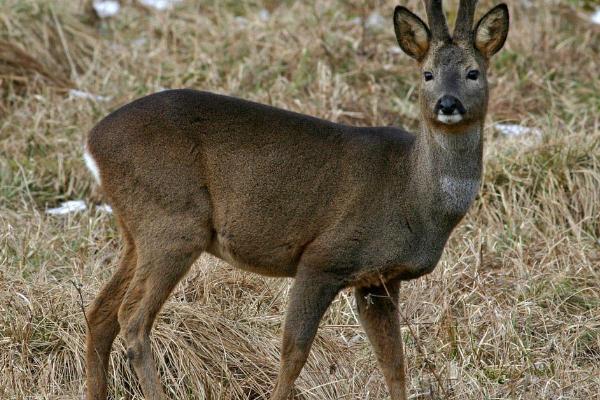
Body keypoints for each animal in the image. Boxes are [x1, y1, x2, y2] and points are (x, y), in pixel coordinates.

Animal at [82, 1, 508, 398]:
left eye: (473, 72)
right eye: (427, 73)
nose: (447, 104)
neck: (413, 194)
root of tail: (92, 143)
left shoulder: (379, 281)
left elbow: (395, 364)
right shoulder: (324, 256)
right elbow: (294, 352)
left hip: (139, 230)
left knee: (100, 312)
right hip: (174, 222)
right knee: (132, 318)